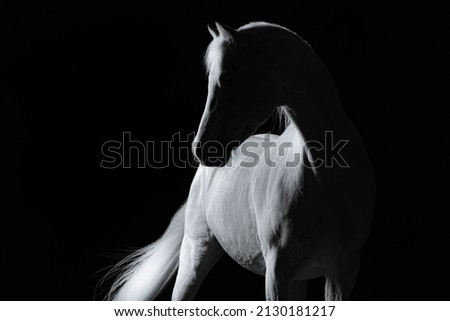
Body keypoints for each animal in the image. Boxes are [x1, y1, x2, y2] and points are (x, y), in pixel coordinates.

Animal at [104, 21, 372, 298]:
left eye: (228, 78)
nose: (201, 149)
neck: (326, 179)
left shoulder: (342, 273)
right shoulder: (278, 272)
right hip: (195, 254)